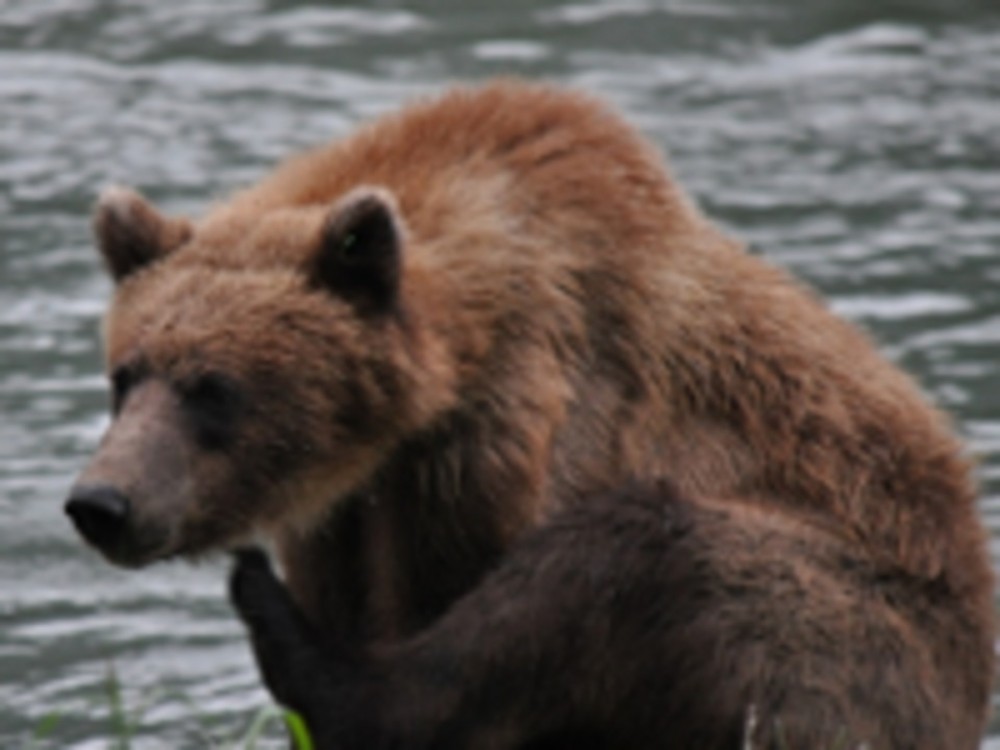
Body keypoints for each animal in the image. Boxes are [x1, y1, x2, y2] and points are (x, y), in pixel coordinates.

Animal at [68, 79, 992, 748]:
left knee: (643, 552)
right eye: (125, 375)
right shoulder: (344, 517)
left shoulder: (515, 429)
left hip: (864, 627)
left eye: (214, 387)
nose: (102, 502)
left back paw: (269, 612)